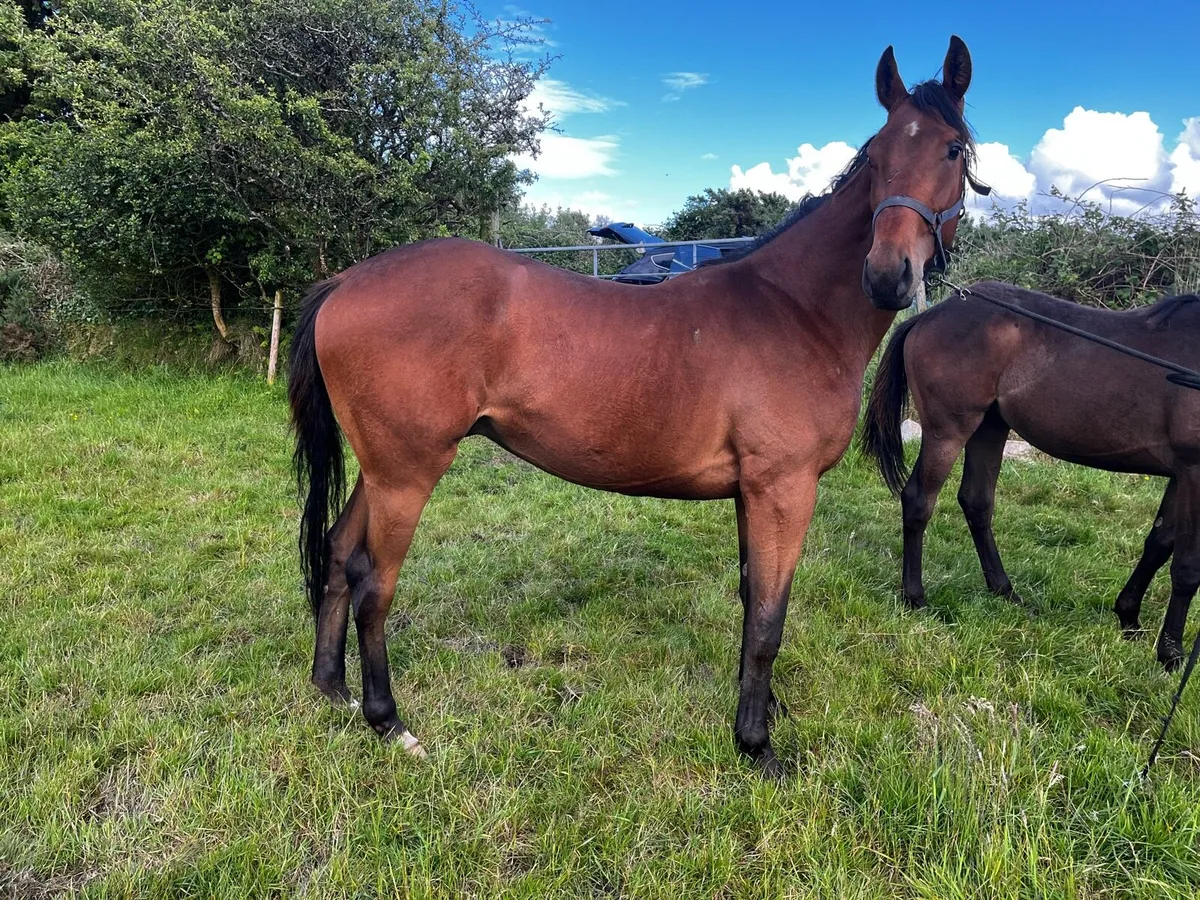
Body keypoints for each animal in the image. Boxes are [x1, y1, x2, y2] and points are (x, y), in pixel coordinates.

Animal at [288, 36, 987, 777]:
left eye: (950, 150)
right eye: (877, 154)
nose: (887, 275)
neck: (794, 310)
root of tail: (345, 283)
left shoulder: (754, 493)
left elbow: (752, 603)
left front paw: (760, 714)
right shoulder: (784, 489)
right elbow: (770, 619)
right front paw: (757, 746)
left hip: (381, 469)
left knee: (338, 554)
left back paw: (333, 689)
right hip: (407, 472)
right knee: (373, 583)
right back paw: (388, 720)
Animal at [862, 282, 1200, 670]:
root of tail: (931, 313)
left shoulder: (1180, 474)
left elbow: (1159, 544)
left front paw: (1129, 617)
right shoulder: (1194, 472)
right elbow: (1186, 567)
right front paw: (1171, 654)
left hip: (991, 426)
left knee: (977, 502)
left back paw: (1004, 590)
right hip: (947, 431)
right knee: (919, 500)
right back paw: (915, 596)